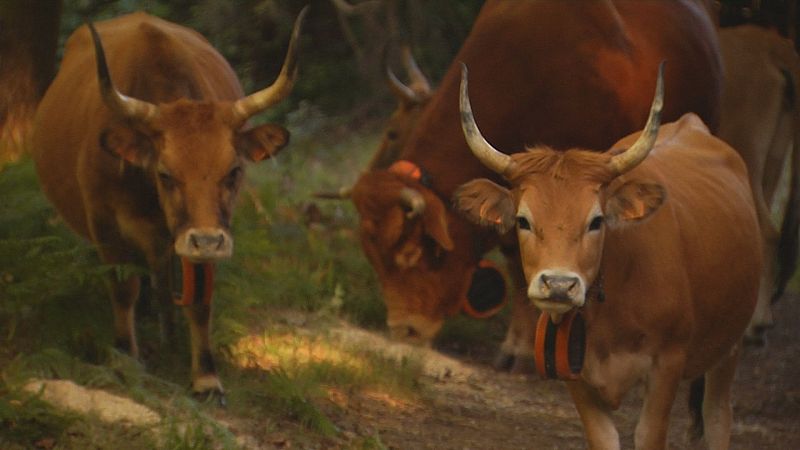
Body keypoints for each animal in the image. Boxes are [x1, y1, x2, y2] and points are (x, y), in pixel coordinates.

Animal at [30, 9, 307, 397]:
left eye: (234, 171)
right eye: (165, 173)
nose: (206, 240)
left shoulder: (210, 231)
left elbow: (200, 299)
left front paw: (206, 377)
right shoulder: (105, 225)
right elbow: (123, 288)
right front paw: (126, 359)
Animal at [454, 64, 761, 450]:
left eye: (596, 220)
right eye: (523, 220)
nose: (559, 285)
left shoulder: (668, 364)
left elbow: (649, 434)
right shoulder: (572, 369)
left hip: (729, 346)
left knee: (718, 416)